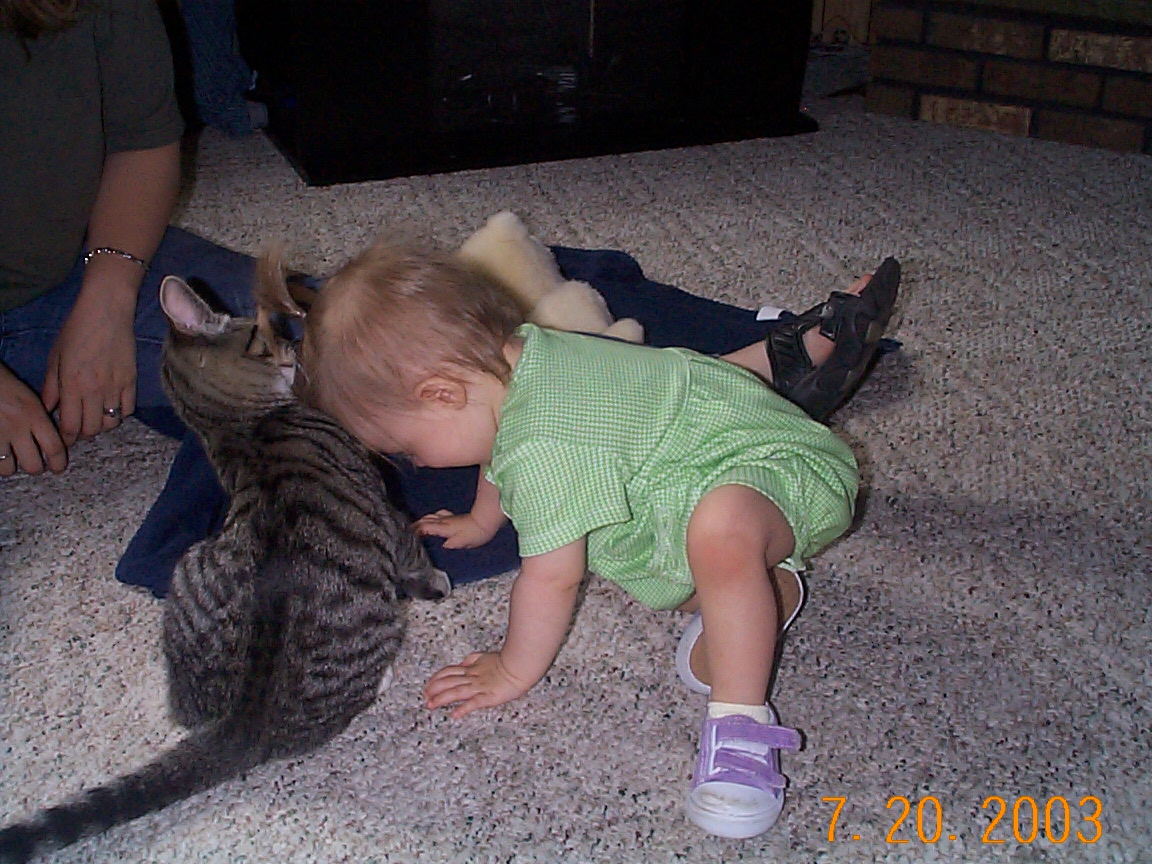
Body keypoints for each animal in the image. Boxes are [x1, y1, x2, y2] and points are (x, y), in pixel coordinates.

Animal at [0, 265, 450, 863]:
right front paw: (436, 578)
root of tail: (244, 724)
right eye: (265, 331)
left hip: (187, 569)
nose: (295, 340)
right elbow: (412, 549)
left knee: (184, 709)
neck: (242, 428)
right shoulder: (386, 505)